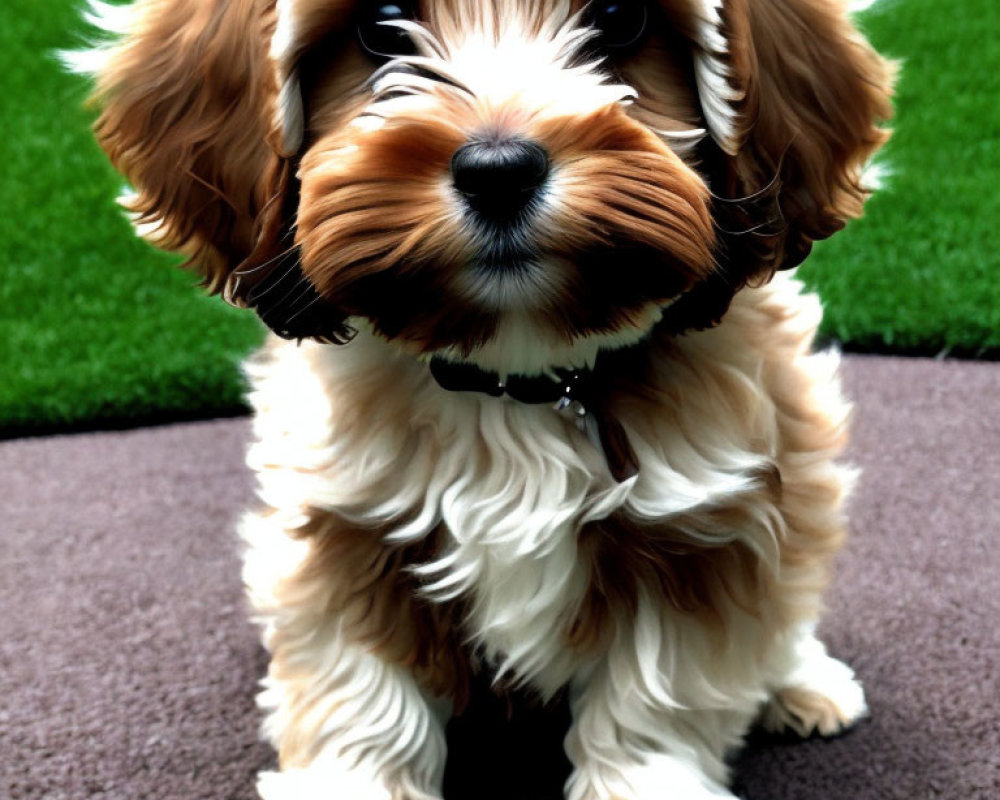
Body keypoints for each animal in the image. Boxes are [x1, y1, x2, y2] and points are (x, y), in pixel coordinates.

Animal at [74, 3, 896, 796]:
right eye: (380, 27)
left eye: (621, 20)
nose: (499, 171)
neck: (516, 382)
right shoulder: (346, 529)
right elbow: (360, 694)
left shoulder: (699, 537)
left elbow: (654, 708)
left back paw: (803, 681)